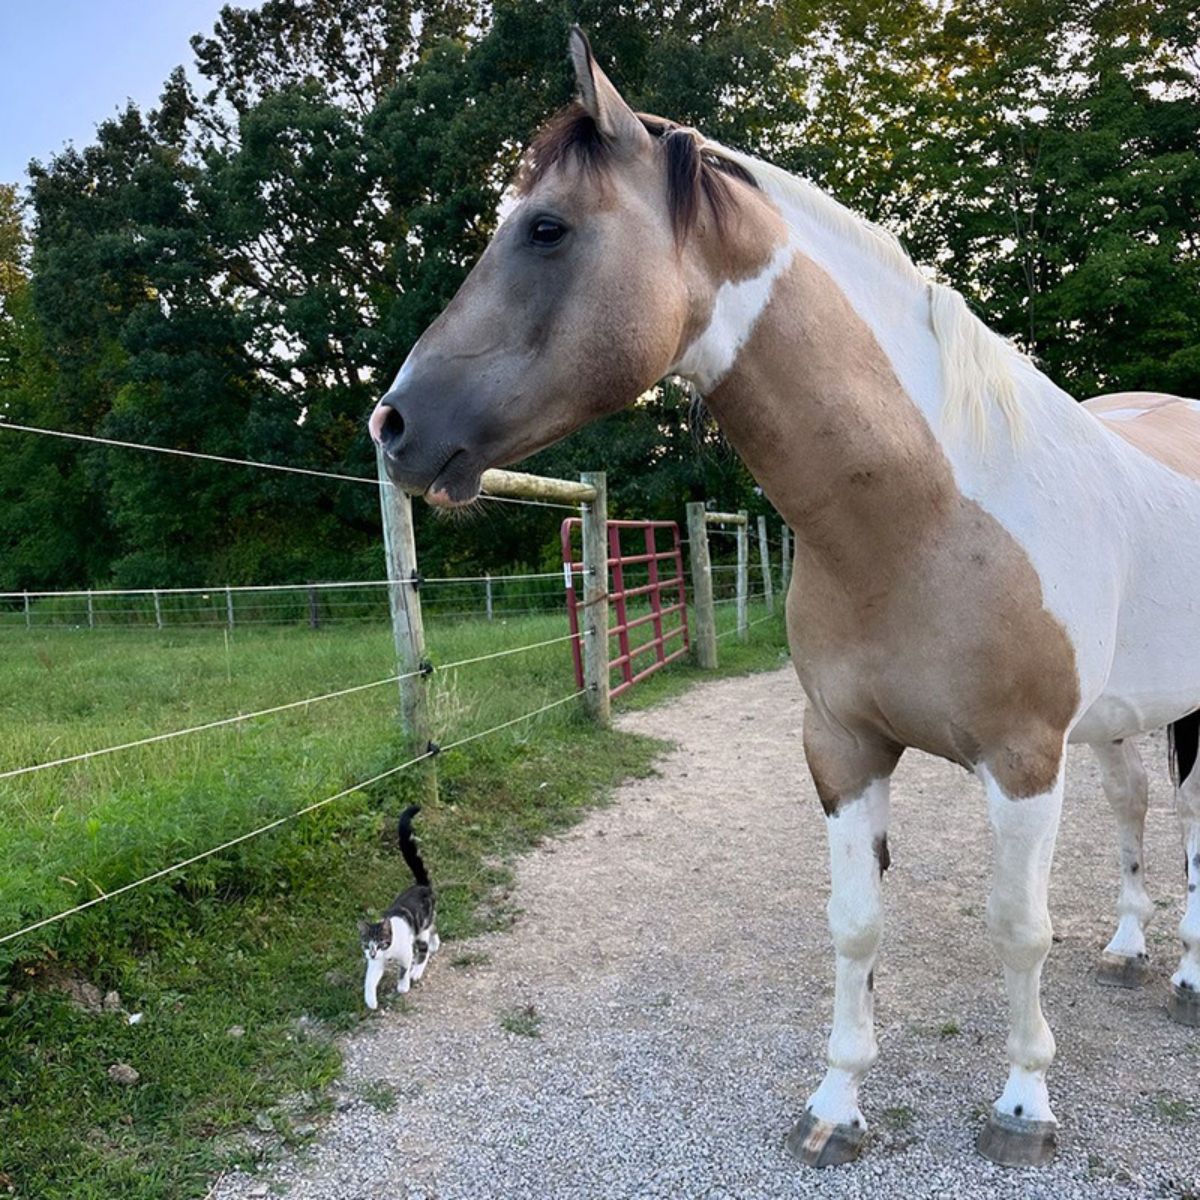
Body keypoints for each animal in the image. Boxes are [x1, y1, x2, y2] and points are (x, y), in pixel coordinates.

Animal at [357, 801, 439, 1008]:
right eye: (366, 944)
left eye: (380, 943)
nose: (372, 954)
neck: (387, 953)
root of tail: (421, 885)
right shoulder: (375, 964)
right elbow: (369, 980)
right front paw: (371, 1001)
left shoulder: (405, 953)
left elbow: (403, 970)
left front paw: (403, 986)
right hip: (426, 923)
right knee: (435, 928)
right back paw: (436, 944)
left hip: (420, 930)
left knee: (424, 950)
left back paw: (417, 971)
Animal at [367, 30, 1200, 1171]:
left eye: (546, 228)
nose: (393, 424)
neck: (930, 514)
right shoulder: (843, 748)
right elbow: (854, 927)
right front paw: (837, 1104)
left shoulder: (1024, 761)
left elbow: (1018, 929)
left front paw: (1025, 1104)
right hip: (1121, 720)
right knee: (1134, 810)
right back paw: (1127, 947)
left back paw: (1187, 977)